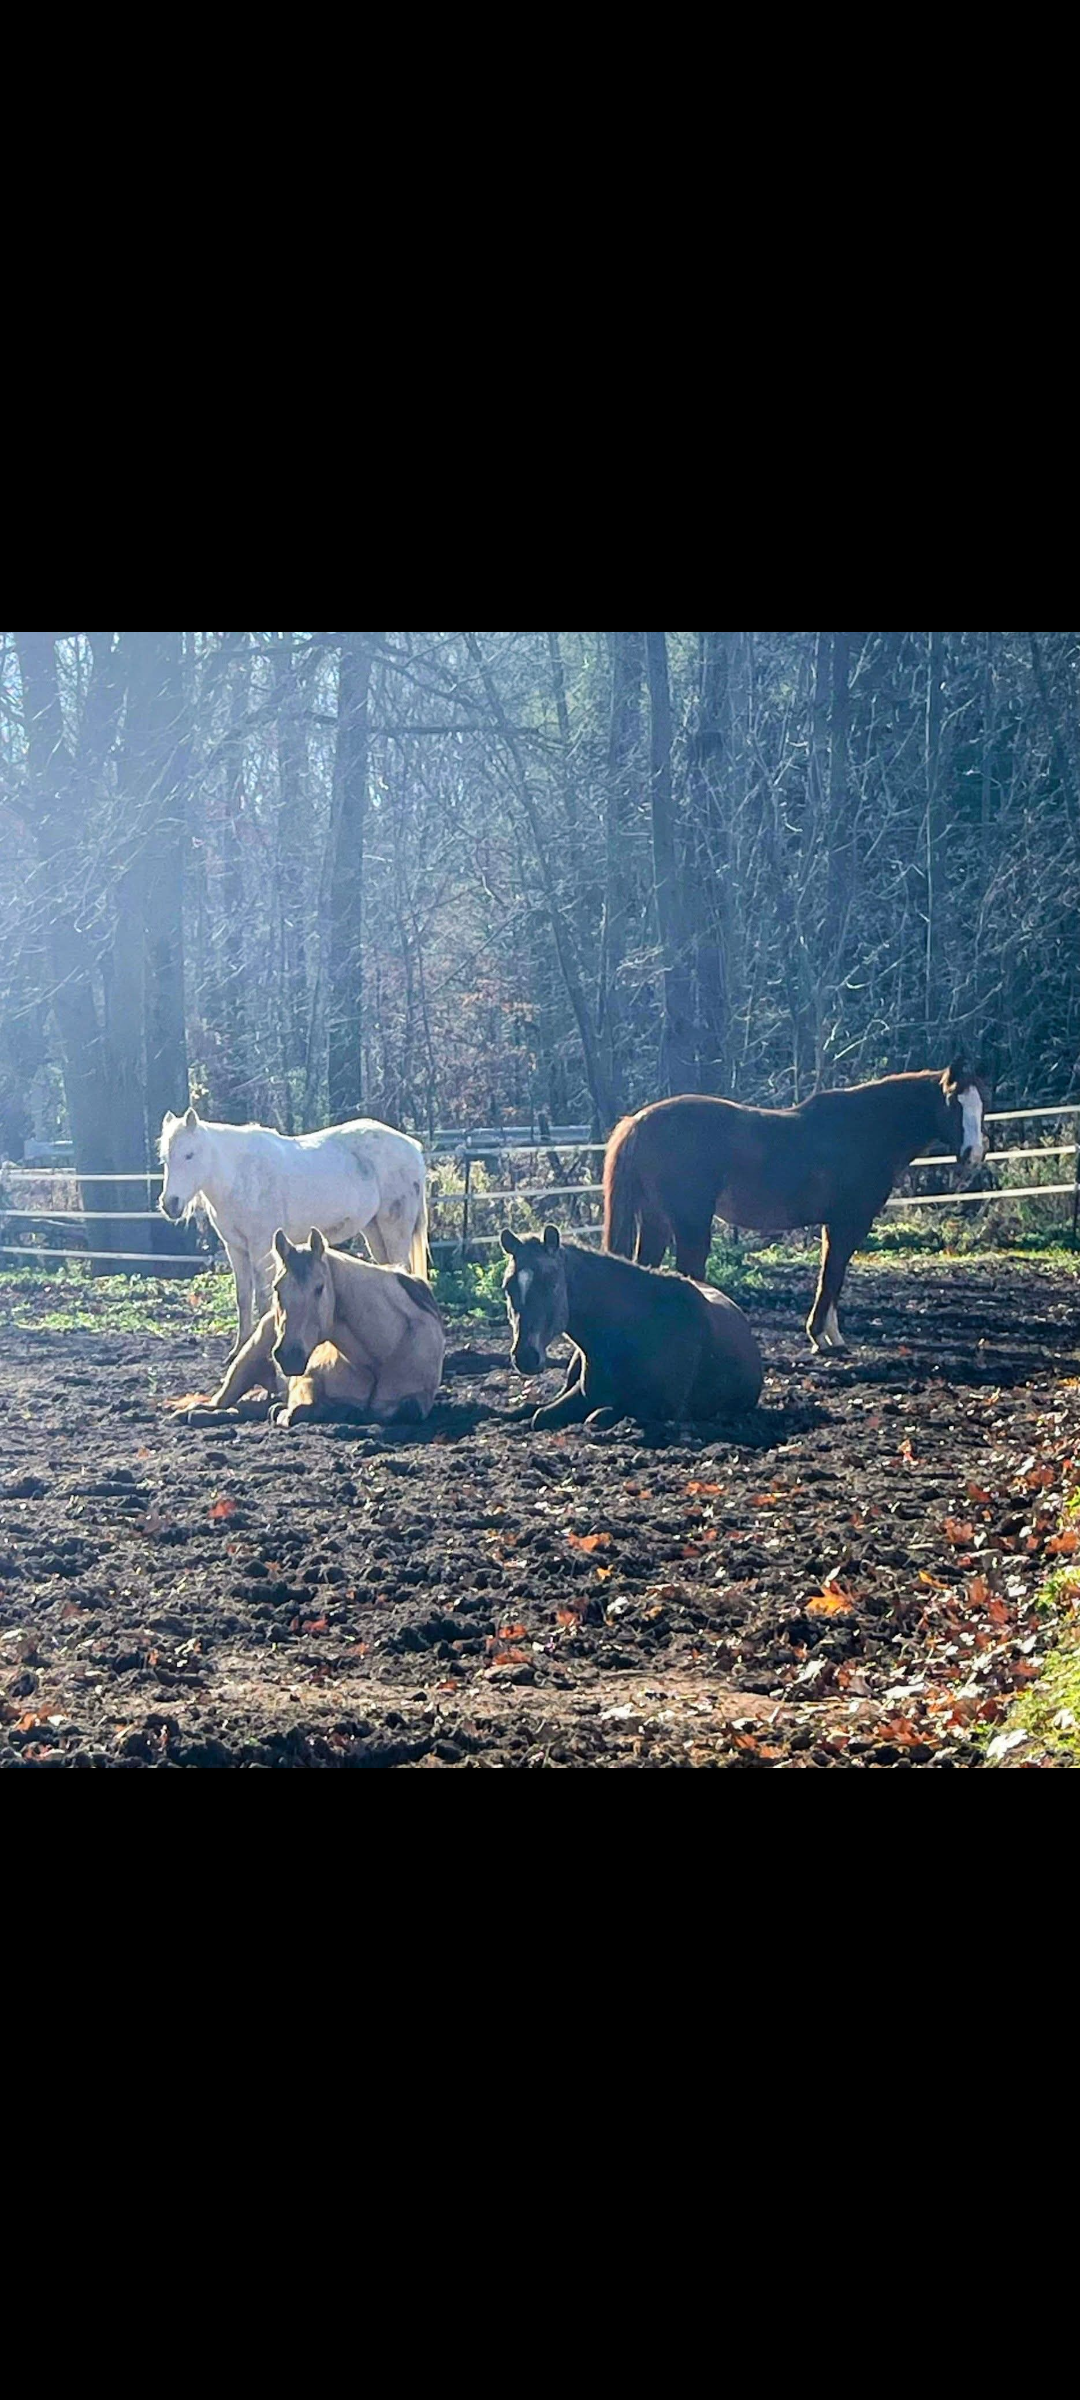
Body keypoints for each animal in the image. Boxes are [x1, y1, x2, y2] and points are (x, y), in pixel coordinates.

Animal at [159, 1106, 429, 1356]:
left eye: (189, 1155)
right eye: (165, 1158)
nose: (170, 1204)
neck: (240, 1175)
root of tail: (413, 1148)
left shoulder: (261, 1248)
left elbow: (264, 1298)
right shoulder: (235, 1248)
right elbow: (243, 1298)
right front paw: (239, 1349)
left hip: (394, 1228)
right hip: (374, 1231)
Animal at [183, 1226, 445, 1428]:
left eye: (319, 1288)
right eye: (277, 1288)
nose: (289, 1355)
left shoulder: (416, 1401)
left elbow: (401, 1410)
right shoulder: (306, 1382)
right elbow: (300, 1409)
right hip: (245, 1362)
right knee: (218, 1402)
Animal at [500, 1225, 763, 1429]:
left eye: (551, 1283)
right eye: (508, 1287)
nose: (525, 1356)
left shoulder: (659, 1407)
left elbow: (597, 1416)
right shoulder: (584, 1394)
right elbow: (540, 1415)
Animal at [602, 1061, 988, 1351]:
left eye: (980, 1106)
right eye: (953, 1102)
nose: (974, 1155)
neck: (865, 1131)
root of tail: (638, 1122)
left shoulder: (835, 1225)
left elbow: (831, 1275)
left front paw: (829, 1335)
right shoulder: (848, 1222)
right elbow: (833, 1275)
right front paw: (822, 1337)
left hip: (656, 1221)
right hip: (689, 1224)